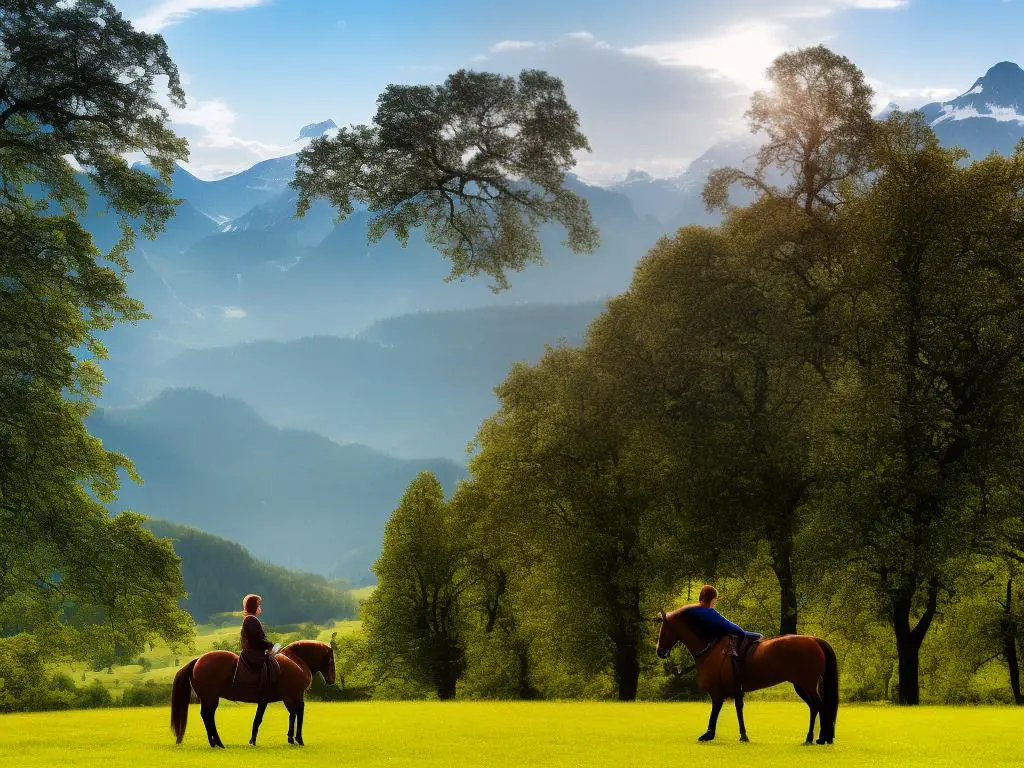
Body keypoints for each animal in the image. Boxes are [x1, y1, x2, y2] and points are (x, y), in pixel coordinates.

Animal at [169, 638, 333, 749]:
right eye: (331, 660)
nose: (331, 680)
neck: (296, 662)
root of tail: (197, 660)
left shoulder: (276, 698)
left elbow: (280, 715)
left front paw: (290, 738)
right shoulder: (291, 695)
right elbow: (295, 713)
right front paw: (296, 739)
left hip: (208, 698)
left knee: (207, 716)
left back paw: (215, 742)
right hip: (211, 698)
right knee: (208, 716)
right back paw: (218, 742)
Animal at [659, 606, 835, 745]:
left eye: (663, 631)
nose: (659, 651)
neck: (714, 649)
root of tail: (815, 640)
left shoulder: (717, 690)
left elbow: (716, 710)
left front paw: (709, 734)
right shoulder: (735, 689)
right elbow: (737, 708)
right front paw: (742, 735)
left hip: (807, 684)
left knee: (818, 705)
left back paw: (815, 737)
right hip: (801, 685)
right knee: (814, 706)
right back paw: (817, 737)